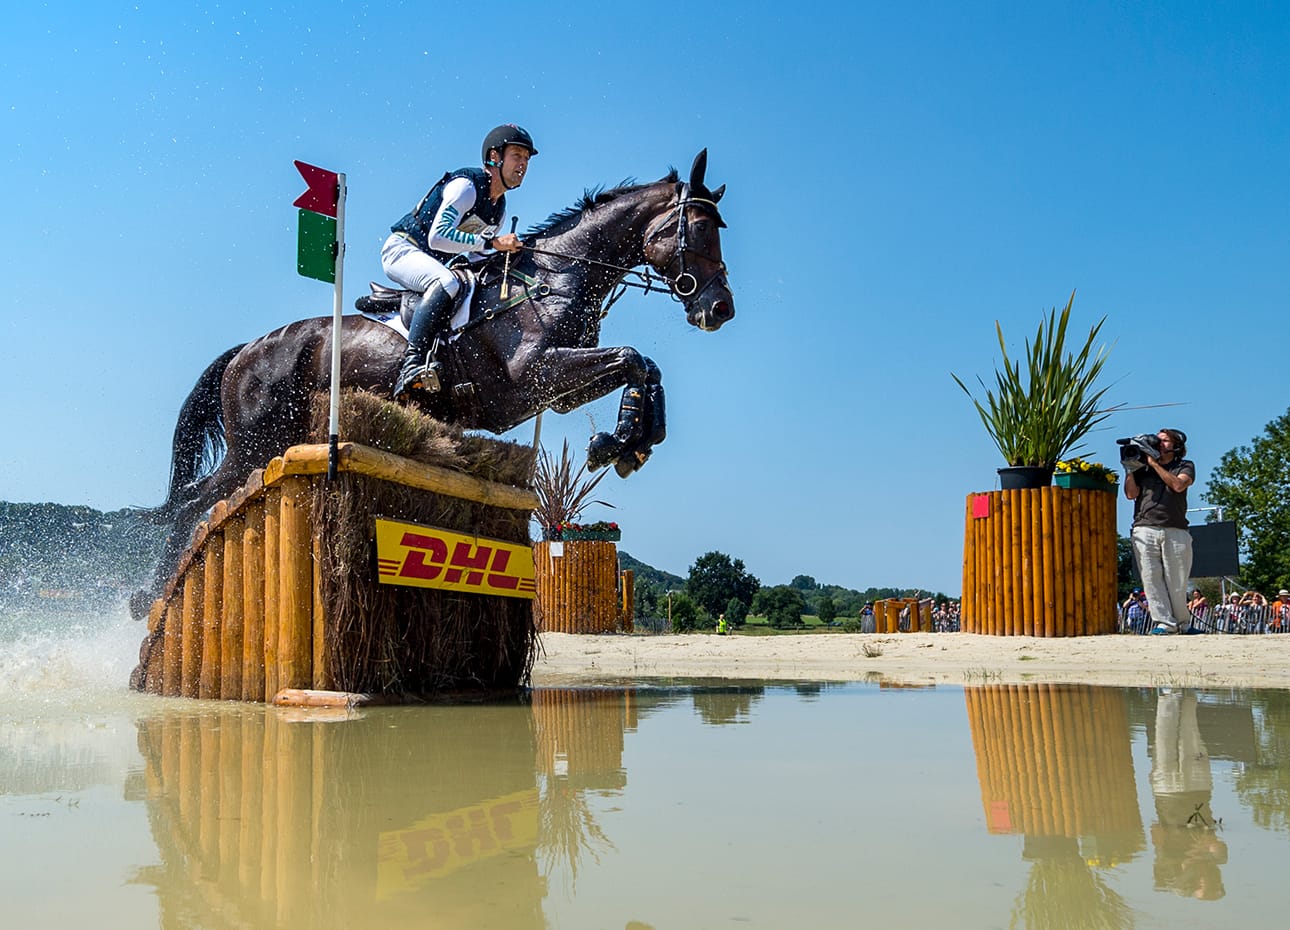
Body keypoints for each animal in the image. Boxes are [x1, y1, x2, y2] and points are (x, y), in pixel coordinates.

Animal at [141, 148, 737, 606]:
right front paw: (619, 441)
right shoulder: (535, 373)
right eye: (700, 229)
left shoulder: (557, 391)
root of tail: (248, 349)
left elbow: (642, 365)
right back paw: (144, 598)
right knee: (192, 504)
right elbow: (633, 358)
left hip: (271, 442)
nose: (720, 309)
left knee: (194, 503)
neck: (557, 275)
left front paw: (629, 442)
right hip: (254, 443)